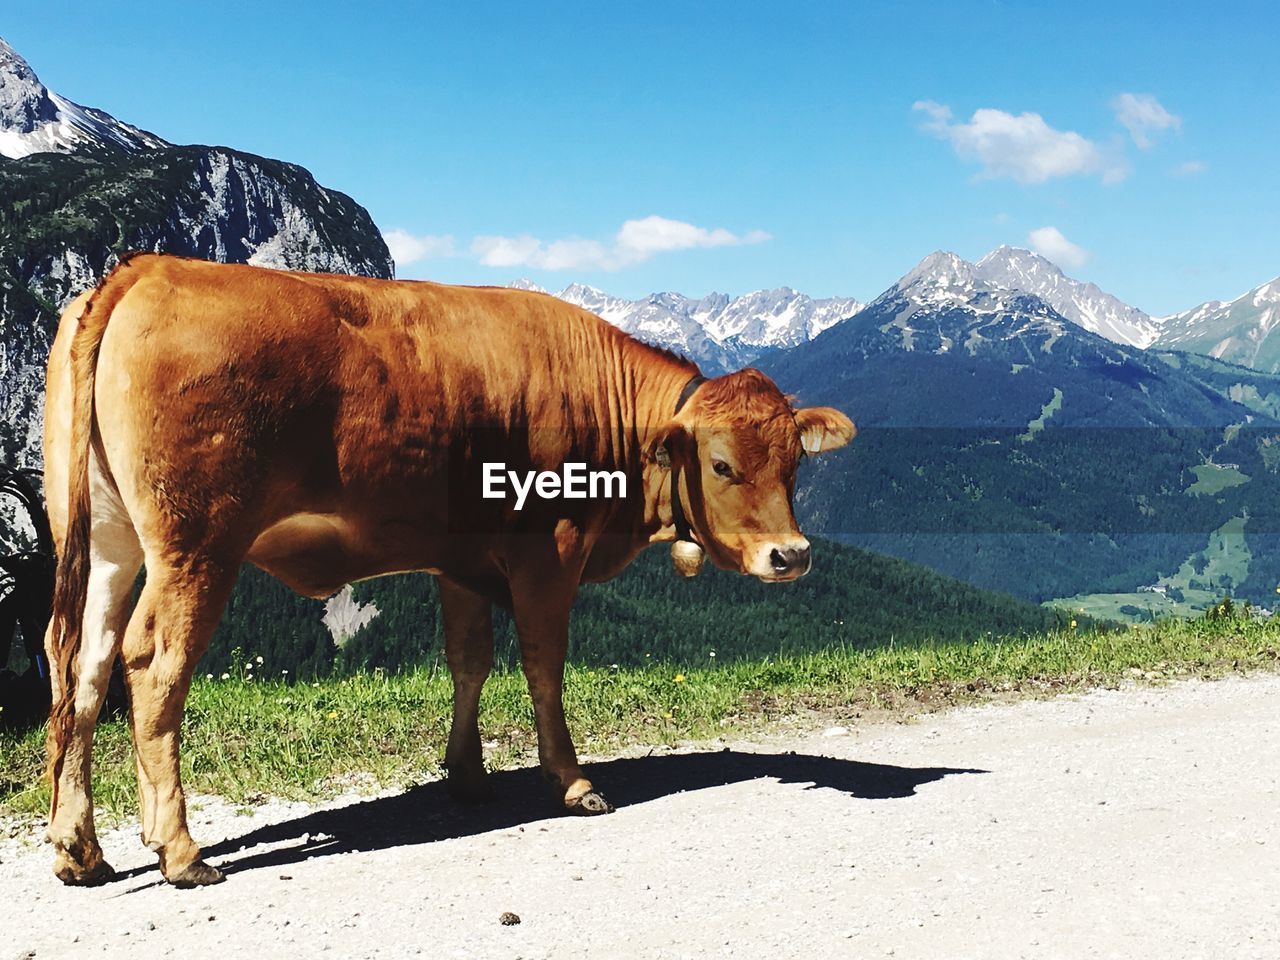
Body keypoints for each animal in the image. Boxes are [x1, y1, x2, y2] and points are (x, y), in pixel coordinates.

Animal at [45, 253, 855, 885]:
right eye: (721, 464)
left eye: (794, 464)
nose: (792, 554)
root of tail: (147, 269)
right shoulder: (549, 551)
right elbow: (543, 664)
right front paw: (573, 782)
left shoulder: (461, 561)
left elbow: (470, 660)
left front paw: (466, 775)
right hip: (196, 547)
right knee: (153, 665)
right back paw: (178, 850)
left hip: (107, 541)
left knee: (82, 665)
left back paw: (78, 847)